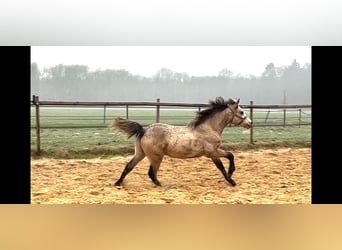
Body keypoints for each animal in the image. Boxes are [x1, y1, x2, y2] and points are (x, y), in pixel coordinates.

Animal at [111, 96, 251, 187]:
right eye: (241, 111)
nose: (250, 123)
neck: (209, 128)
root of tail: (144, 130)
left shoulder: (213, 153)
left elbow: (225, 160)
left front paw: (230, 177)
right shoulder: (212, 152)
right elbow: (227, 159)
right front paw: (231, 178)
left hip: (141, 154)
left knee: (129, 166)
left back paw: (118, 183)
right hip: (156, 157)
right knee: (151, 173)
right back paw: (160, 185)